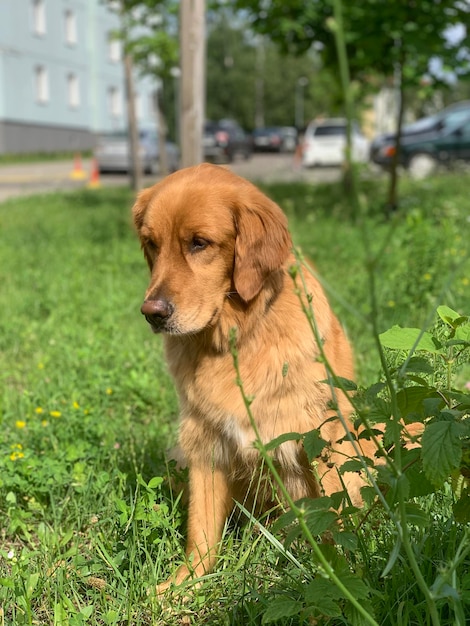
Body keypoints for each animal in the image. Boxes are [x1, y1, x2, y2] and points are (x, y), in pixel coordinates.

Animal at [131, 161, 370, 588]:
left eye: (199, 243)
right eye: (152, 244)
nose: (152, 313)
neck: (235, 337)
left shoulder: (322, 434)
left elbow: (338, 515)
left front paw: (346, 577)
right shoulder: (204, 440)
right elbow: (201, 530)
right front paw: (184, 586)